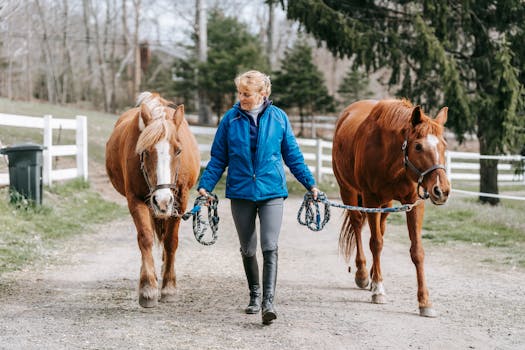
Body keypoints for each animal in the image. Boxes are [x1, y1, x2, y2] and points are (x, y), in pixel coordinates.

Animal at [105, 91, 200, 308]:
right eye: (145, 151)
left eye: (178, 150)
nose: (162, 200)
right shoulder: (136, 200)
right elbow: (145, 238)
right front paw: (148, 288)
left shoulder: (180, 201)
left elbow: (171, 241)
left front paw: (169, 287)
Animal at [332, 98, 450, 318]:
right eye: (418, 146)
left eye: (444, 145)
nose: (442, 190)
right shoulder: (371, 199)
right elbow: (376, 243)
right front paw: (378, 289)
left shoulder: (414, 203)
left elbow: (417, 250)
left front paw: (424, 301)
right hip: (349, 191)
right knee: (358, 225)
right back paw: (363, 274)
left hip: (385, 205)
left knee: (380, 228)